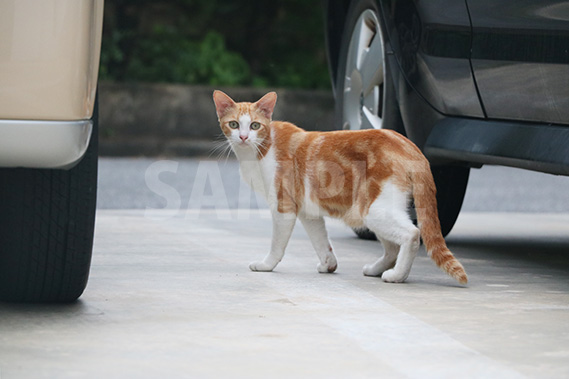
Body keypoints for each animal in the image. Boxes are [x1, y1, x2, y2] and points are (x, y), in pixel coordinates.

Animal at [213, 90, 466, 284]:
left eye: (255, 125)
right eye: (234, 124)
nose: (243, 137)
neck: (260, 149)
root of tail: (410, 146)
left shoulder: (283, 208)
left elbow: (277, 245)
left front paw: (266, 265)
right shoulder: (309, 212)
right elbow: (321, 242)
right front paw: (329, 265)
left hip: (374, 211)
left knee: (412, 235)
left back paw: (397, 276)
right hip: (376, 211)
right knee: (392, 247)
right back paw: (377, 269)